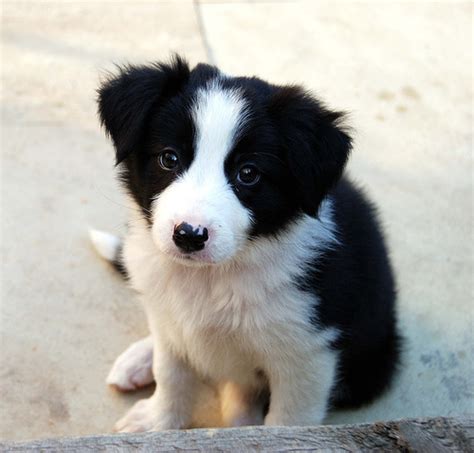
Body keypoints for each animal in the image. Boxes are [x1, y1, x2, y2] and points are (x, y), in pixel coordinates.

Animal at [90, 55, 400, 430]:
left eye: (248, 173)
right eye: (169, 158)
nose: (189, 235)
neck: (213, 277)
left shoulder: (307, 355)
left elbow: (288, 420)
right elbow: (172, 374)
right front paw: (157, 422)